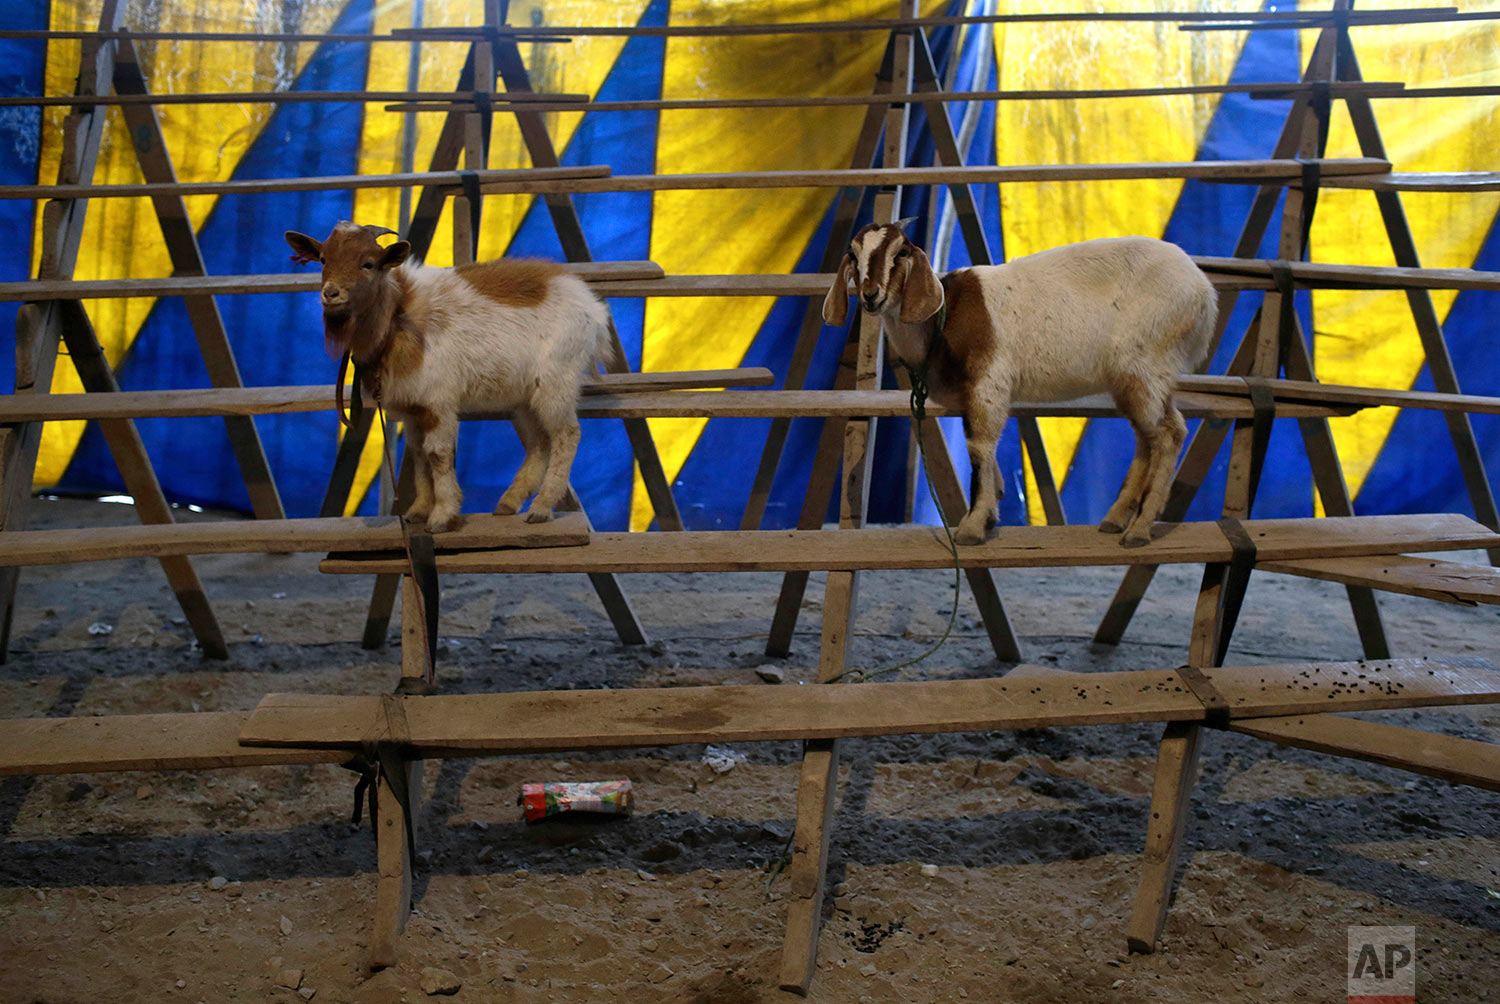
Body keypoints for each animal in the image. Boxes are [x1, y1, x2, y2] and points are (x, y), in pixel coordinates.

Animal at [286, 220, 615, 531]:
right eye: (323, 259)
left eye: (368, 263)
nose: (331, 293)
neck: (398, 315)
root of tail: (591, 305)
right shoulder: (412, 407)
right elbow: (418, 455)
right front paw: (419, 510)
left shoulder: (437, 402)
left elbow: (437, 454)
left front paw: (442, 515)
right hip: (523, 397)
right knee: (539, 442)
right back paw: (509, 502)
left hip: (556, 382)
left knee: (566, 435)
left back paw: (542, 507)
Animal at [828, 222, 1224, 543]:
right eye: (853, 254)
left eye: (901, 252)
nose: (871, 295)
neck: (943, 318)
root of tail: (1205, 294)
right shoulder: (974, 396)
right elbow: (982, 448)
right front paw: (990, 514)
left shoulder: (988, 382)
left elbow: (979, 448)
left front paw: (973, 525)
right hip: (1136, 378)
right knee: (1148, 436)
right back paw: (1115, 519)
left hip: (1145, 363)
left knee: (1169, 435)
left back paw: (1139, 530)